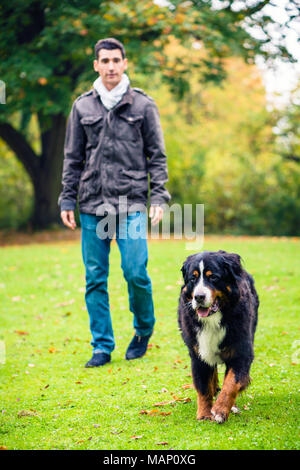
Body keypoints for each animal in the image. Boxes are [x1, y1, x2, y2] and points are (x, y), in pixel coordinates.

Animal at [178, 252, 258, 424]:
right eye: (193, 278)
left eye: (213, 277)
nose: (199, 297)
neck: (213, 320)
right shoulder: (198, 354)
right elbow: (203, 387)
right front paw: (204, 413)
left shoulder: (241, 352)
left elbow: (232, 383)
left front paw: (220, 410)